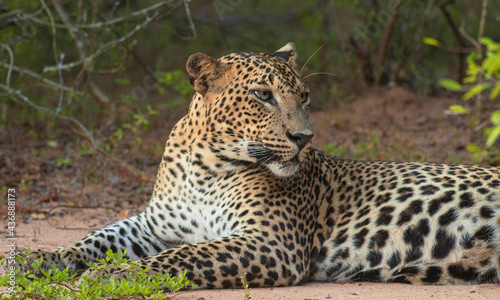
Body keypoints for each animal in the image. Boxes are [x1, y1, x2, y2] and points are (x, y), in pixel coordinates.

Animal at [5, 42, 500, 288]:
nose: (304, 138)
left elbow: (183, 256)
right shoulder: (153, 225)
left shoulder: (271, 242)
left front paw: (113, 275)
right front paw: (36, 259)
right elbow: (95, 238)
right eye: (262, 95)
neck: (203, 167)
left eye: (304, 96)